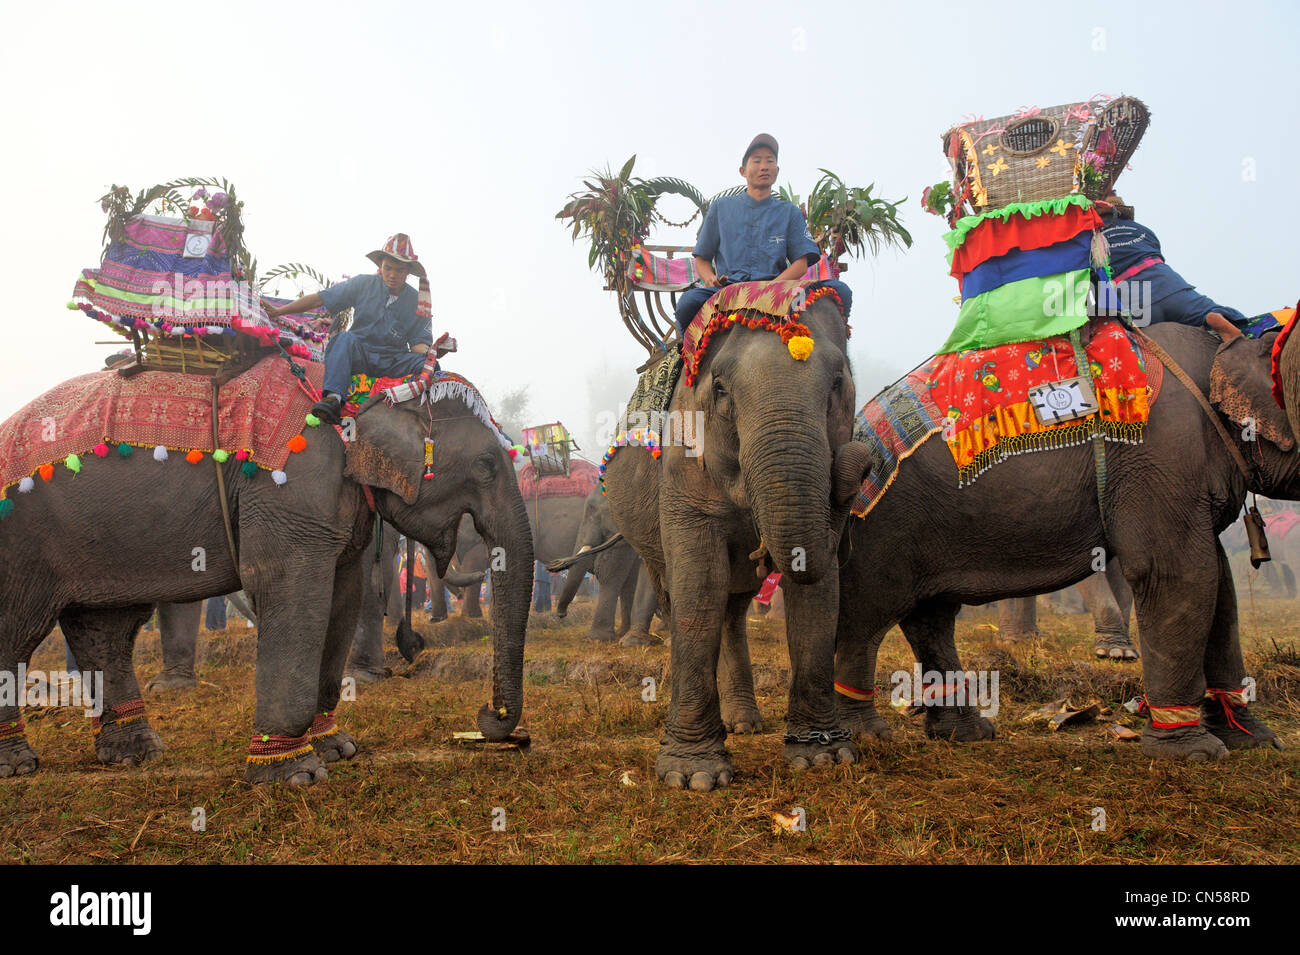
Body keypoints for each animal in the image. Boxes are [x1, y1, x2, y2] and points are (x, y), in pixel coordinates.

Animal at [0, 369, 533, 789]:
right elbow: (287, 584)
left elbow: (343, 594)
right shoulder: (294, 487)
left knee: (105, 631)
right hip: (21, 540)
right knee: (19, 630)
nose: (491, 718)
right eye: (486, 465)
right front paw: (295, 774)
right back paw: (19, 766)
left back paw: (136, 754)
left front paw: (338, 748)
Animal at [600, 291, 873, 789]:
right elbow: (698, 584)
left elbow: (818, 588)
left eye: (838, 383)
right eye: (721, 389)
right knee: (687, 597)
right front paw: (694, 777)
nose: (858, 459)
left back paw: (743, 723)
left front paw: (823, 757)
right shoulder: (683, 460)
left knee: (732, 609)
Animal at [837, 320, 1294, 764]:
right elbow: (1174, 572)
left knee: (932, 616)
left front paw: (1256, 742)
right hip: (882, 524)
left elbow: (1219, 584)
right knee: (868, 613)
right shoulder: (1160, 457)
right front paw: (1193, 753)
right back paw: (867, 735)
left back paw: (966, 733)